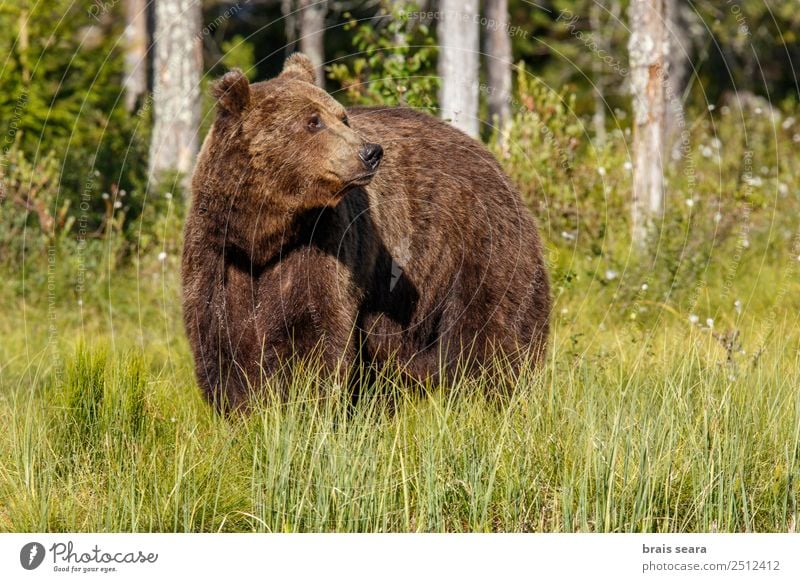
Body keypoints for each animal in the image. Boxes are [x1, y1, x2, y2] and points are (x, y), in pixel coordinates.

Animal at [183, 52, 552, 412]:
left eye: (342, 117)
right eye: (313, 121)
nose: (371, 152)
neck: (262, 234)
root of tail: (487, 154)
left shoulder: (322, 239)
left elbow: (314, 329)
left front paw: (303, 403)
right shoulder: (217, 252)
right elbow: (221, 336)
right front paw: (243, 408)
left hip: (479, 245)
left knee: (492, 329)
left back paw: (495, 393)